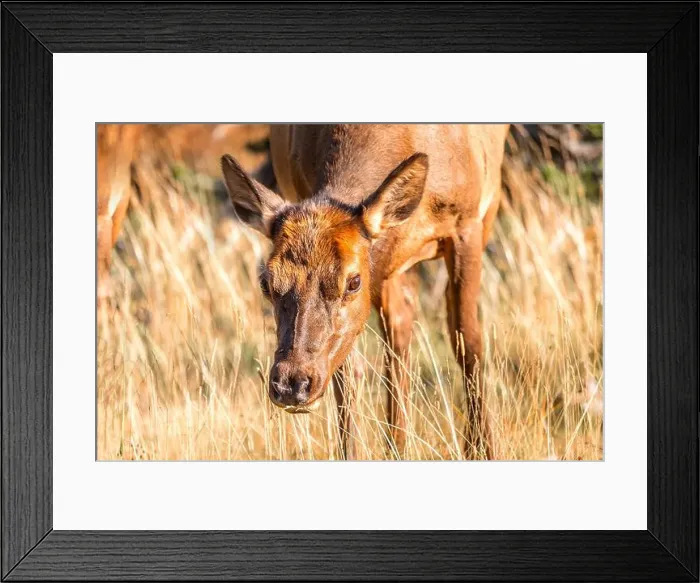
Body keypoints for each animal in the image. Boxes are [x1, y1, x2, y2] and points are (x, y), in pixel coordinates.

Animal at [221, 124, 510, 459]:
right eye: (266, 282)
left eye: (353, 281)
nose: (291, 383)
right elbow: (347, 372)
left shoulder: (468, 223)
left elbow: (468, 342)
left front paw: (482, 449)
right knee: (398, 330)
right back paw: (396, 445)